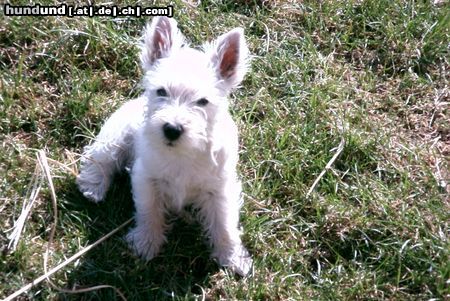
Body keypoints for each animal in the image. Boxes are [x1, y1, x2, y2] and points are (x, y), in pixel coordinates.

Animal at [78, 15, 253, 274]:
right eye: (161, 91)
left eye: (203, 101)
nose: (172, 129)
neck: (183, 153)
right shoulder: (146, 178)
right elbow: (149, 211)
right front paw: (146, 243)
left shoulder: (219, 189)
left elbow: (224, 224)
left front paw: (233, 258)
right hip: (116, 134)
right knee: (101, 157)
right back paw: (93, 186)